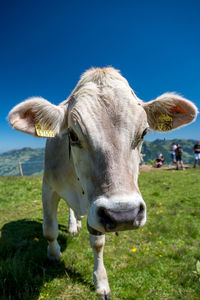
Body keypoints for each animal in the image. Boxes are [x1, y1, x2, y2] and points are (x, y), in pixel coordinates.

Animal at [8, 67, 198, 298]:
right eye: (72, 134)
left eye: (143, 133)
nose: (124, 215)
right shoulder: (48, 187)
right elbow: (49, 229)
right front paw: (53, 255)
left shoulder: (95, 207)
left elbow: (98, 243)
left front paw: (101, 283)